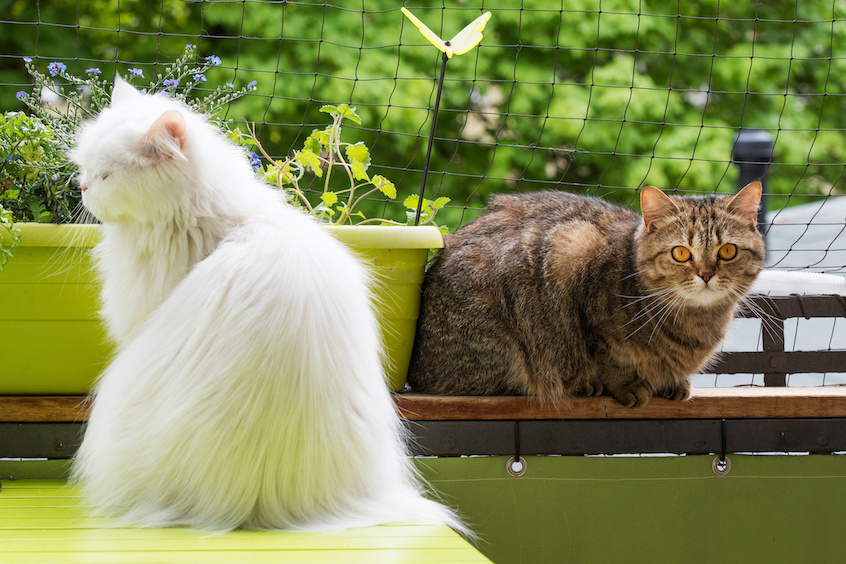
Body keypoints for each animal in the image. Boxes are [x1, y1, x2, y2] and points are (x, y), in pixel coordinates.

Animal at [410, 183, 768, 408]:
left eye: (727, 251)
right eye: (681, 253)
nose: (706, 274)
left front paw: (673, 382)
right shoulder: (581, 279)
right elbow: (611, 359)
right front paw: (627, 386)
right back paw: (581, 385)